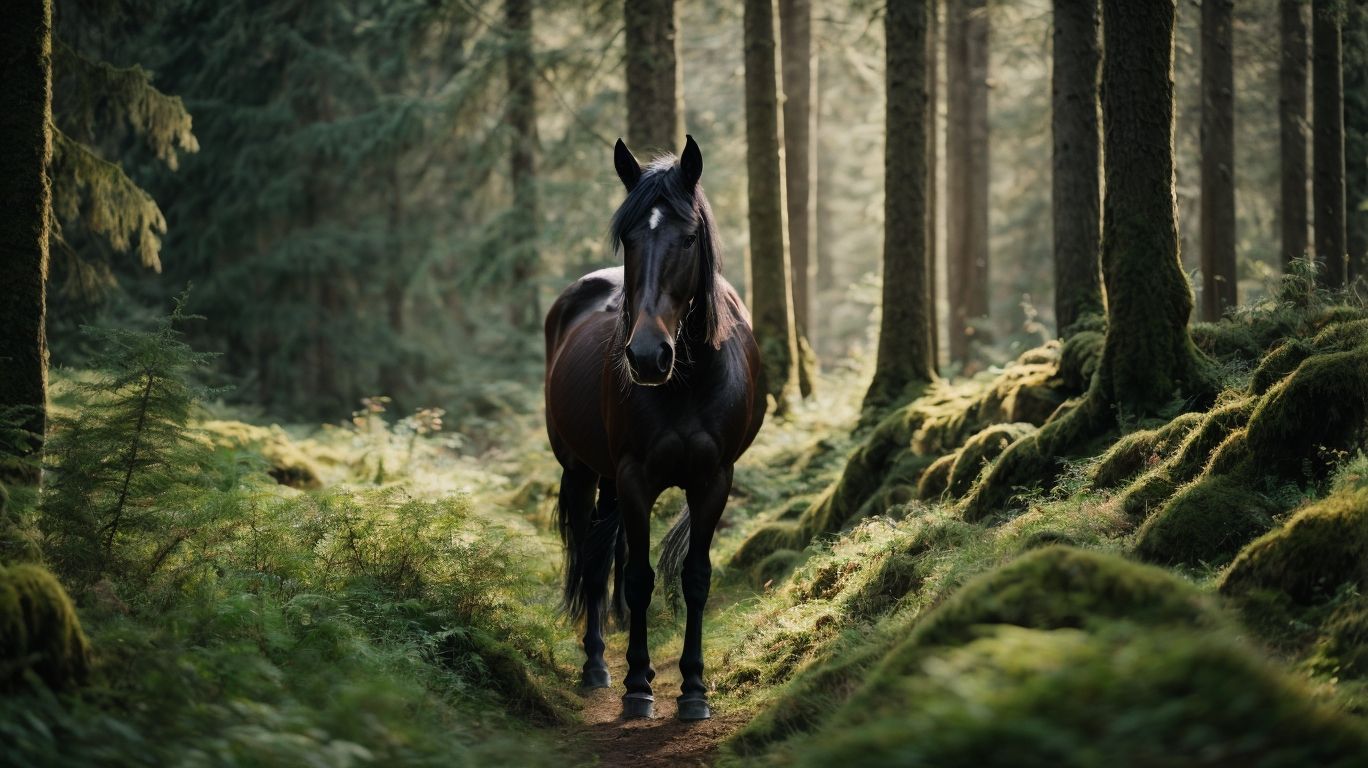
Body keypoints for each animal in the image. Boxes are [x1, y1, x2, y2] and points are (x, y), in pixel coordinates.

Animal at [543, 135, 765, 721]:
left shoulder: (713, 481)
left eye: (688, 238)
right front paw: (638, 686)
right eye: (628, 237)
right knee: (593, 563)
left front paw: (694, 688)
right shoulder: (635, 478)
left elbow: (695, 577)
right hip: (581, 471)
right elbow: (639, 578)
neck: (687, 382)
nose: (646, 356)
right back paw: (597, 666)